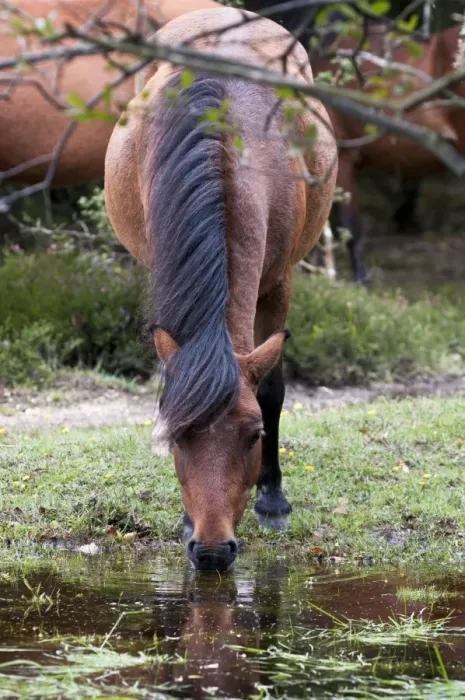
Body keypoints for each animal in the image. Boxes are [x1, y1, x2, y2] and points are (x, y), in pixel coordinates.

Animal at [105, 6, 337, 571]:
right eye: (175, 439)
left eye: (254, 436)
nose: (211, 550)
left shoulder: (279, 283)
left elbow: (272, 388)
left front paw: (272, 499)